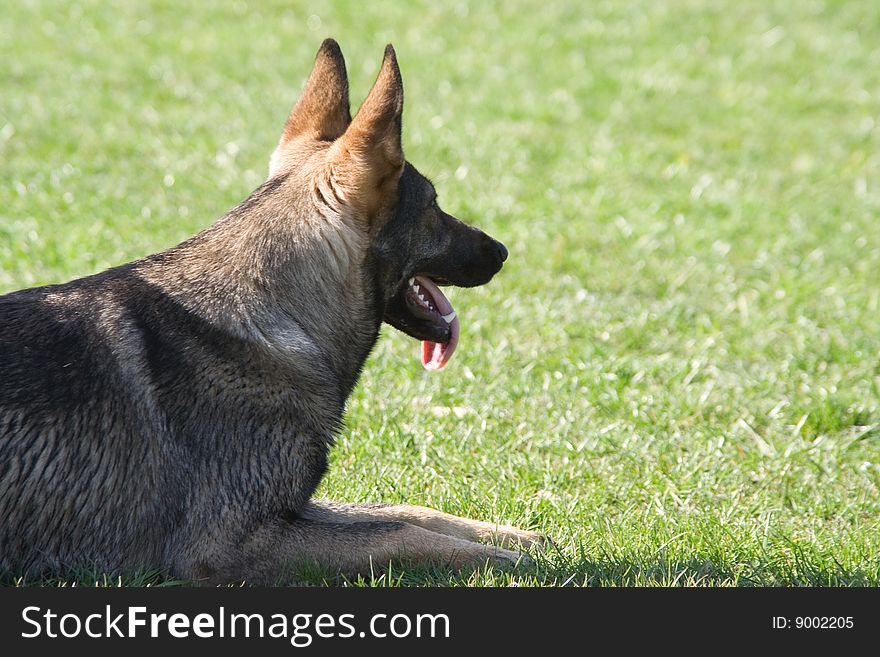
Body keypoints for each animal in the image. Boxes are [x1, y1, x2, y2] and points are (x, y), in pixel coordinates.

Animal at [0, 39, 544, 584]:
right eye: (433, 204)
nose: (501, 252)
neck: (272, 315)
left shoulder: (289, 510)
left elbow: (399, 511)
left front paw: (508, 536)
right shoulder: (227, 546)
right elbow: (394, 533)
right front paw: (495, 559)